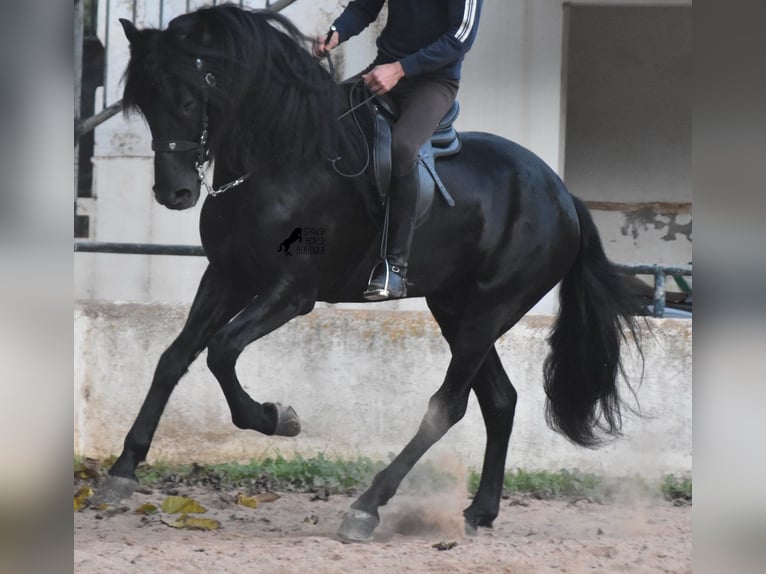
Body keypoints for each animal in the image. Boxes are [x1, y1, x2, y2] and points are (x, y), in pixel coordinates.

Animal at [103, 5, 640, 544]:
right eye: (144, 104)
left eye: (188, 98)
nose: (174, 193)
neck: (282, 156)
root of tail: (563, 195)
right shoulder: (226, 275)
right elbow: (174, 358)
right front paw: (123, 470)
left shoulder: (290, 293)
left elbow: (221, 350)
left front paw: (277, 418)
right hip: (456, 309)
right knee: (499, 400)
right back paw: (479, 511)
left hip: (490, 310)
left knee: (448, 405)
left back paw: (366, 507)